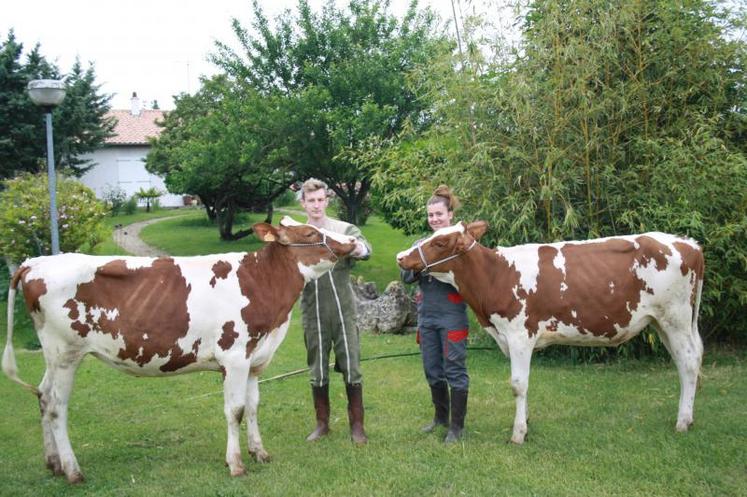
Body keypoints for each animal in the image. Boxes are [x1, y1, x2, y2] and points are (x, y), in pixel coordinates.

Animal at [1, 216, 356, 480]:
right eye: (310, 233)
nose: (351, 242)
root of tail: (35, 262)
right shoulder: (234, 356)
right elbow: (235, 411)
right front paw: (236, 464)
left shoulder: (255, 359)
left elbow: (254, 407)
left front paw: (260, 452)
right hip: (66, 353)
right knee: (56, 406)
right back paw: (73, 471)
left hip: (55, 356)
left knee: (42, 395)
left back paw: (54, 464)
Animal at [398, 221, 708, 442]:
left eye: (440, 242)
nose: (401, 256)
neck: (497, 276)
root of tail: (688, 243)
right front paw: (526, 423)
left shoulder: (519, 334)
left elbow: (518, 384)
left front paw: (518, 434)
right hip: (662, 322)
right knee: (685, 363)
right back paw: (689, 417)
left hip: (676, 318)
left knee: (688, 363)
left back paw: (682, 422)